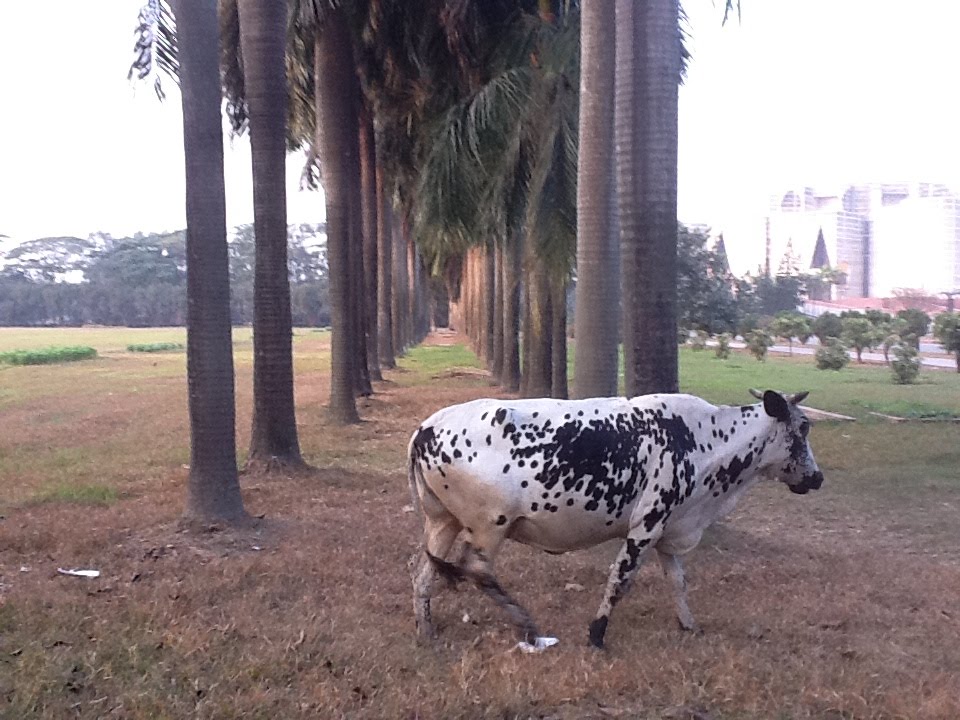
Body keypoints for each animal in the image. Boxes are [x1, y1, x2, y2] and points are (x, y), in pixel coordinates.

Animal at [406, 390, 824, 648]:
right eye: (802, 428)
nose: (817, 477)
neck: (704, 437)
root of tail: (426, 428)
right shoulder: (646, 526)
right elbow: (620, 581)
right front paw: (597, 633)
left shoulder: (669, 529)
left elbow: (679, 582)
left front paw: (689, 625)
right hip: (490, 524)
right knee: (476, 570)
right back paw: (525, 623)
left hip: (444, 523)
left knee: (425, 577)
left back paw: (427, 631)